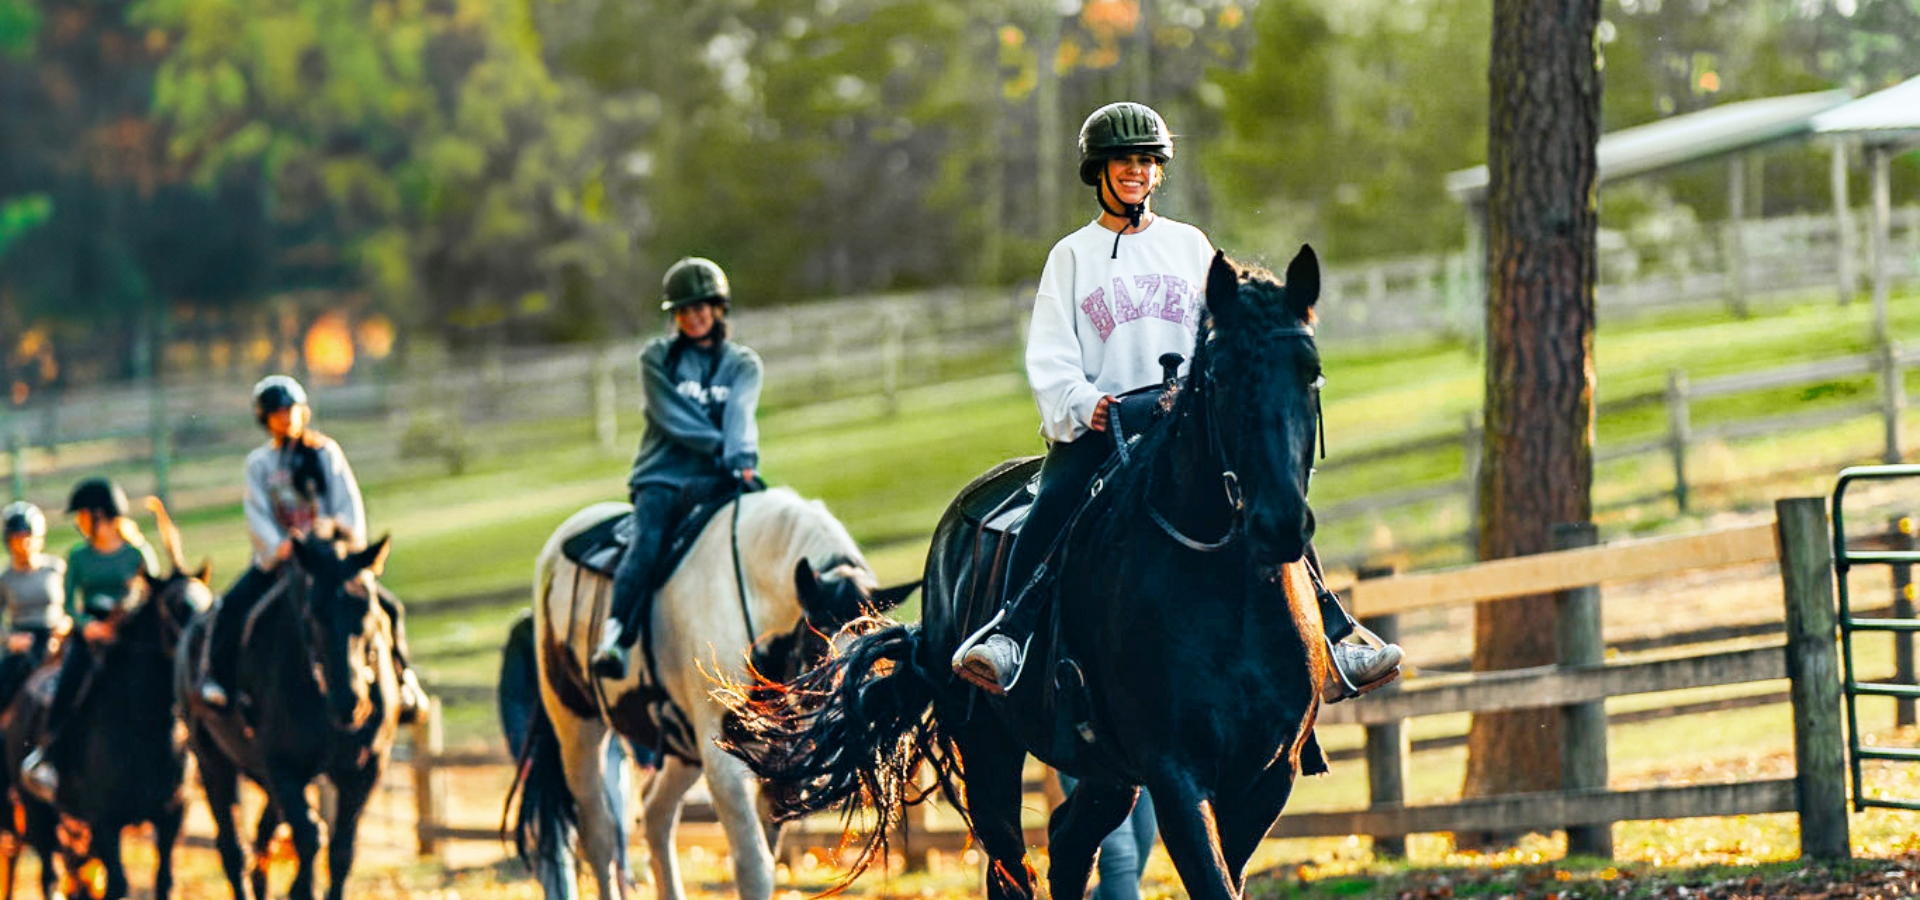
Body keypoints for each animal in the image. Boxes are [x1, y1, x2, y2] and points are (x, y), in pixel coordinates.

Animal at [0, 498, 211, 898]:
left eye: (211, 605)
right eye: (174, 608)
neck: (143, 729)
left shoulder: (170, 818)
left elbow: (164, 881)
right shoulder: (104, 822)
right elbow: (118, 884)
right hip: (37, 812)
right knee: (48, 874)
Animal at [178, 533, 407, 898]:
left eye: (368, 609)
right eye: (313, 612)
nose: (350, 702)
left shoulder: (365, 767)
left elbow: (342, 849)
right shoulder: (282, 765)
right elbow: (311, 835)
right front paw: (301, 888)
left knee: (263, 837)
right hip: (212, 760)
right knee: (233, 849)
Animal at [499, 487, 910, 894]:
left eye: (876, 652)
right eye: (818, 645)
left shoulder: (780, 762)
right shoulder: (725, 762)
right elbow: (753, 865)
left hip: (682, 748)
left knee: (655, 813)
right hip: (577, 731)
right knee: (599, 835)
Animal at [721, 245, 1336, 898]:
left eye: (1311, 371)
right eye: (1222, 375)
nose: (1279, 523)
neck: (1227, 592)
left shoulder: (1266, 777)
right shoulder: (1174, 773)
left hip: (1107, 771)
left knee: (1067, 842)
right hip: (991, 752)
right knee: (1011, 866)